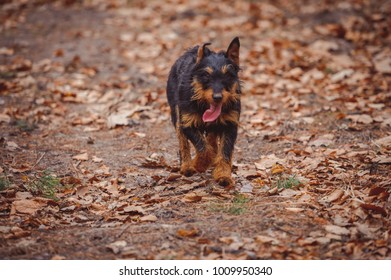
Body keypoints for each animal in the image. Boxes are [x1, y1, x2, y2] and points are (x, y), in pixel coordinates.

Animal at [166, 37, 242, 186]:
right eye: (206, 75)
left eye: (228, 75)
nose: (217, 97)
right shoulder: (187, 123)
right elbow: (203, 148)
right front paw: (198, 165)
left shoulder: (230, 125)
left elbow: (225, 151)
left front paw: (223, 174)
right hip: (177, 115)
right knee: (183, 143)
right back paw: (187, 166)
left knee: (211, 138)